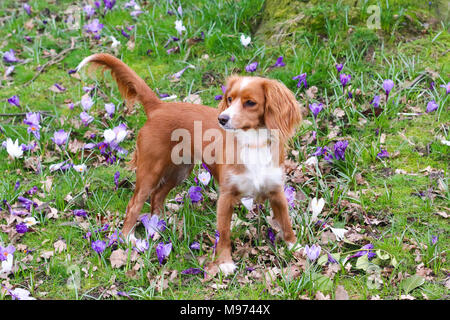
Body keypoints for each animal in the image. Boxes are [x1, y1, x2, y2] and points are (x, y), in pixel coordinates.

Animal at [76, 53, 302, 274]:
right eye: (229, 99)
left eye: (250, 103)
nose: (222, 119)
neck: (253, 142)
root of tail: (159, 107)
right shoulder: (226, 196)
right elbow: (224, 233)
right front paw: (225, 262)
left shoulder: (277, 192)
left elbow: (286, 222)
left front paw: (296, 247)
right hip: (151, 171)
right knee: (135, 204)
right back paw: (129, 238)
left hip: (180, 170)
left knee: (158, 195)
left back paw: (157, 227)